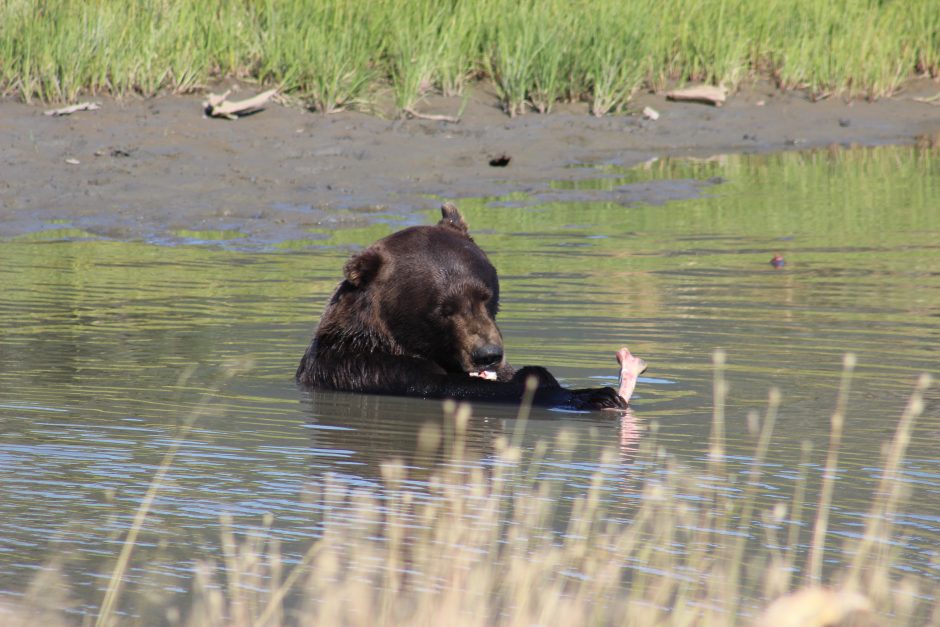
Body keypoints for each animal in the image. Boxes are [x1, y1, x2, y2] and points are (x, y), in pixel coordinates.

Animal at [298, 204, 628, 412]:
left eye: (486, 295)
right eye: (444, 309)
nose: (487, 354)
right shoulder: (377, 369)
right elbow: (459, 387)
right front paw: (595, 394)